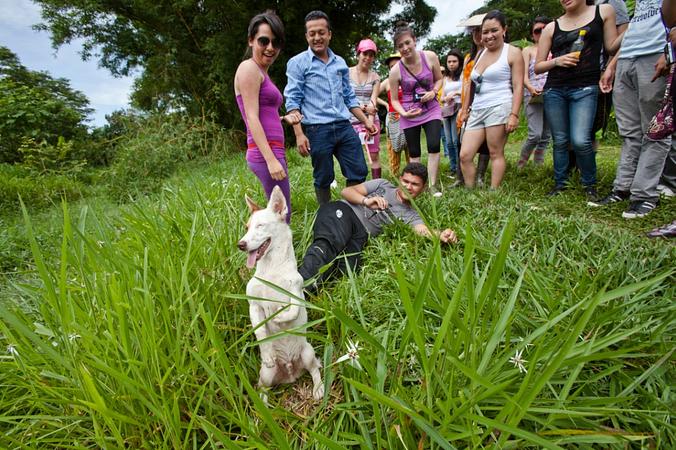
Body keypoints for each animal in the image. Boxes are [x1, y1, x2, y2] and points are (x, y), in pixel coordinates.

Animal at [236, 186, 324, 400]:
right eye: (247, 227)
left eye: (261, 226)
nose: (240, 244)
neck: (272, 269)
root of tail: (291, 372)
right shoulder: (254, 305)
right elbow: (260, 331)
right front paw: (267, 352)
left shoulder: (296, 293)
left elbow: (292, 310)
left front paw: (278, 317)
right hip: (266, 374)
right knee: (263, 387)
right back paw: (262, 405)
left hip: (308, 354)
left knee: (314, 370)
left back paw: (318, 388)